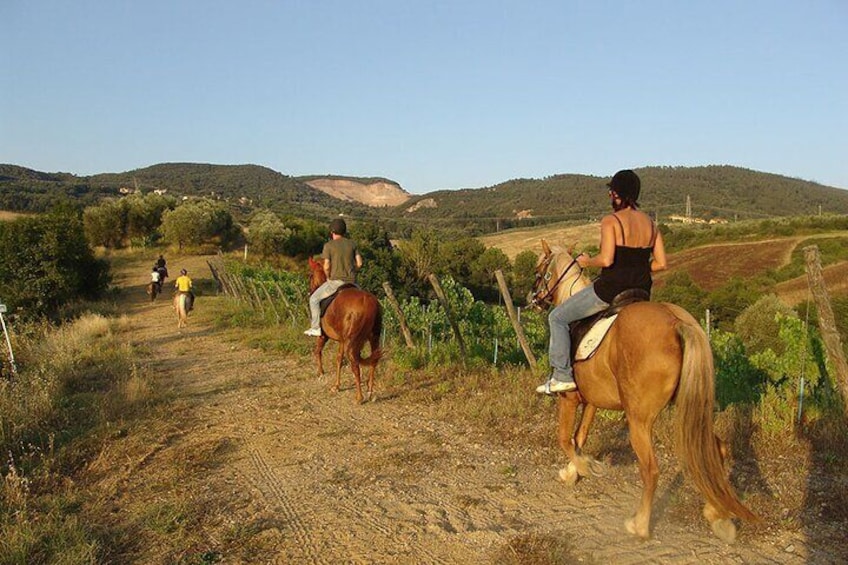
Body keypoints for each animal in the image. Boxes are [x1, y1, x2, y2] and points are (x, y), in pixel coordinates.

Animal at [306, 258, 382, 404]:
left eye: (310, 275)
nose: (310, 291)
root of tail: (369, 302)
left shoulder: (323, 337)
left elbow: (318, 352)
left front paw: (321, 373)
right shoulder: (341, 341)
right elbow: (339, 359)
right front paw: (336, 386)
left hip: (351, 342)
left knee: (355, 364)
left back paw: (359, 397)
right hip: (373, 337)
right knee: (373, 361)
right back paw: (370, 392)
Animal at [528, 240, 756, 540]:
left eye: (538, 269)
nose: (532, 299)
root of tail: (675, 322)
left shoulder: (569, 398)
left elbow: (565, 439)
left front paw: (586, 468)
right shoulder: (592, 401)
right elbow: (580, 437)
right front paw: (573, 472)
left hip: (639, 419)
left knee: (651, 469)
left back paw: (640, 525)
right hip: (688, 409)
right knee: (716, 449)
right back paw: (719, 516)